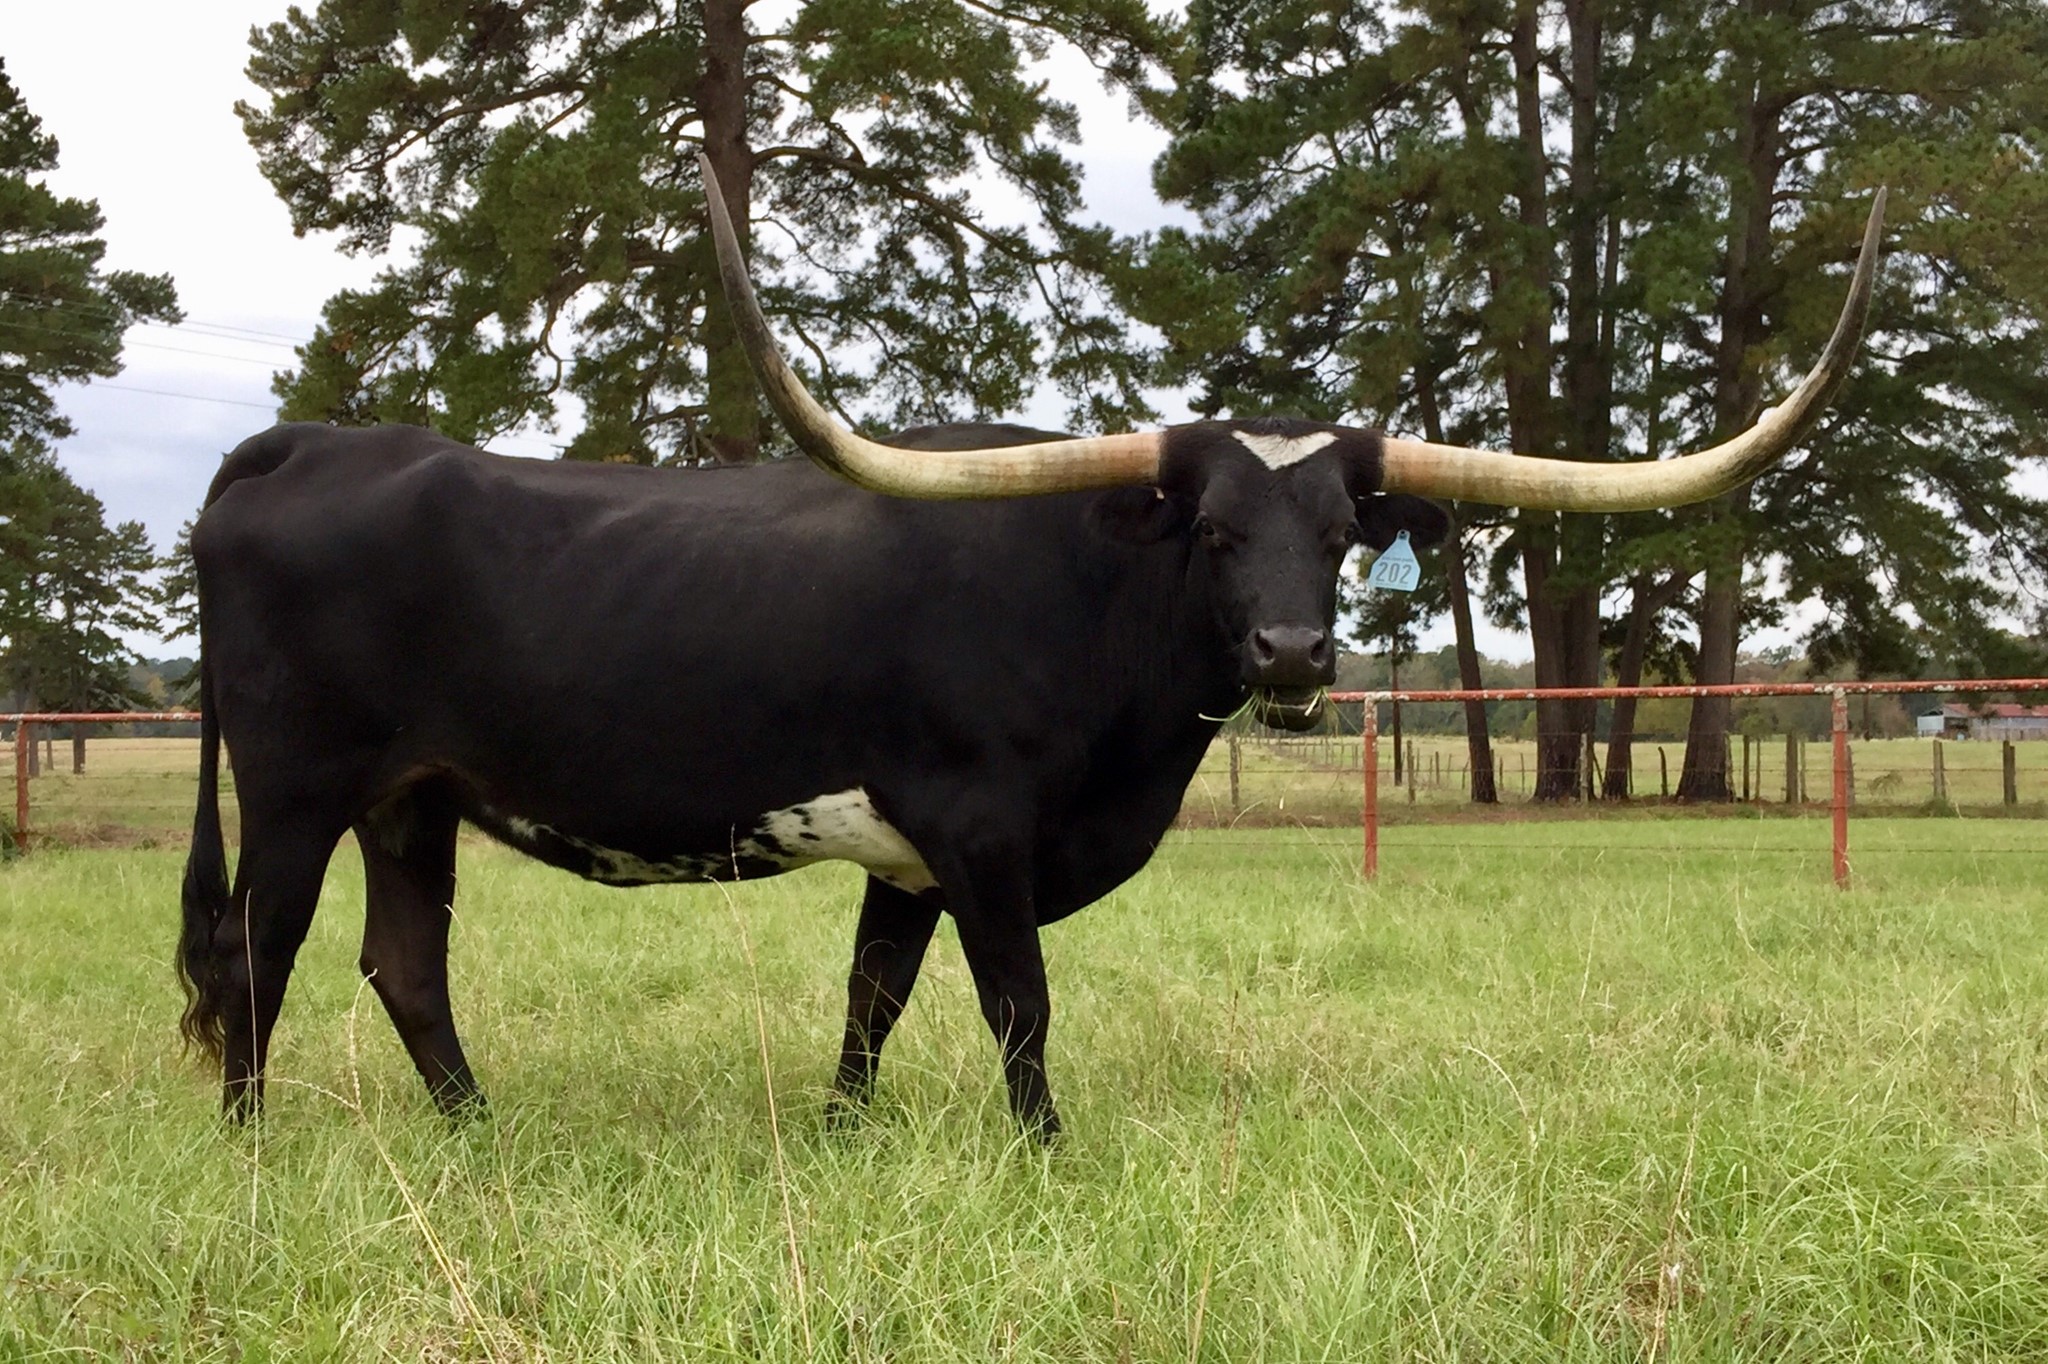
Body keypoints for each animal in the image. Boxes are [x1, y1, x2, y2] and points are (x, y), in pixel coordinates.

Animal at [176, 174, 1883, 1138]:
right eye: (1211, 531)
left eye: (1342, 533)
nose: (1293, 651)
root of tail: (307, 444)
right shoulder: (978, 828)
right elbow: (1021, 1004)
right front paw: (1043, 1149)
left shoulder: (903, 856)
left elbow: (870, 1001)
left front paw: (845, 1139)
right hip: (297, 782)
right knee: (259, 951)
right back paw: (251, 1145)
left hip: (413, 794)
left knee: (406, 964)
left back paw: (478, 1137)